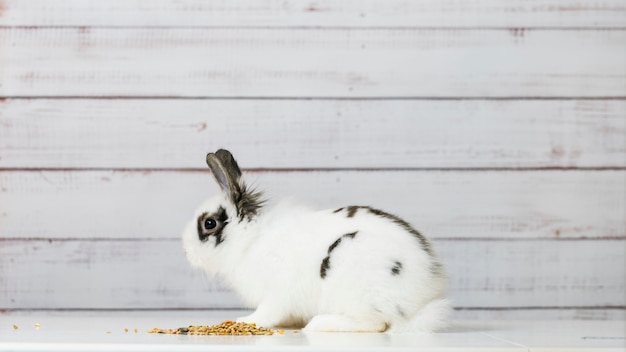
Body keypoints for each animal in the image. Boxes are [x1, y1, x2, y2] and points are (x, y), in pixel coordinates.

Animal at [180, 148, 448, 332]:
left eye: (209, 224)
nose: (186, 252)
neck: (250, 239)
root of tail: (423, 299)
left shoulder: (278, 290)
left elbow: (267, 312)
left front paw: (245, 321)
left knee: (375, 323)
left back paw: (320, 323)